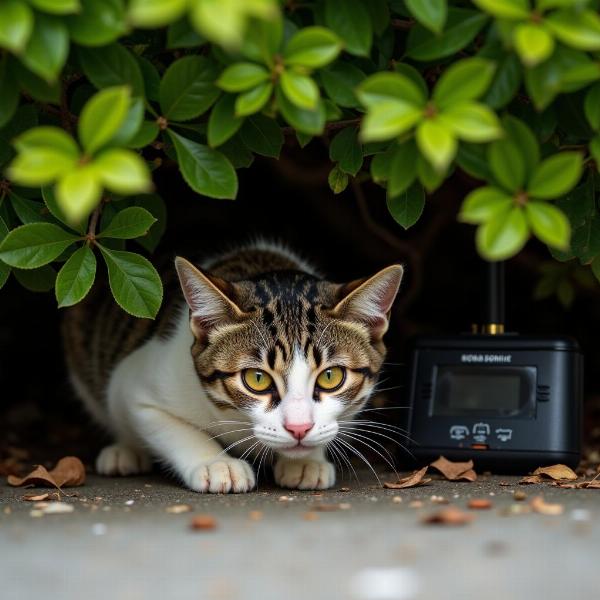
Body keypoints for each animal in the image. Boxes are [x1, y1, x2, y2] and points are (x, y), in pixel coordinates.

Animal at [62, 241, 404, 494]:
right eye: (257, 379)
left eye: (331, 377)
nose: (299, 428)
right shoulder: (135, 383)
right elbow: (167, 424)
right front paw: (215, 462)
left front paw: (307, 459)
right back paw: (124, 452)